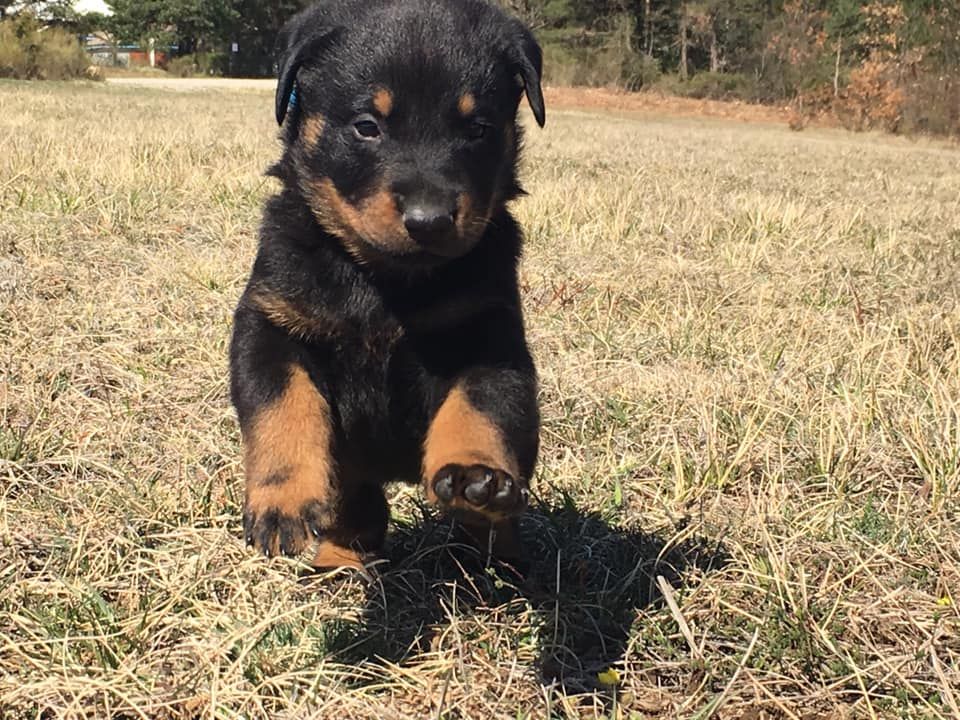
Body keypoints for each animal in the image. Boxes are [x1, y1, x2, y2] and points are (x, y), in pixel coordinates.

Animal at [228, 0, 544, 568]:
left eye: (478, 129)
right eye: (366, 126)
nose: (430, 220)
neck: (385, 281)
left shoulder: (489, 331)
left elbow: (483, 403)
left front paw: (476, 477)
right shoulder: (270, 321)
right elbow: (282, 403)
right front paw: (284, 500)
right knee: (358, 511)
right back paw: (338, 564)